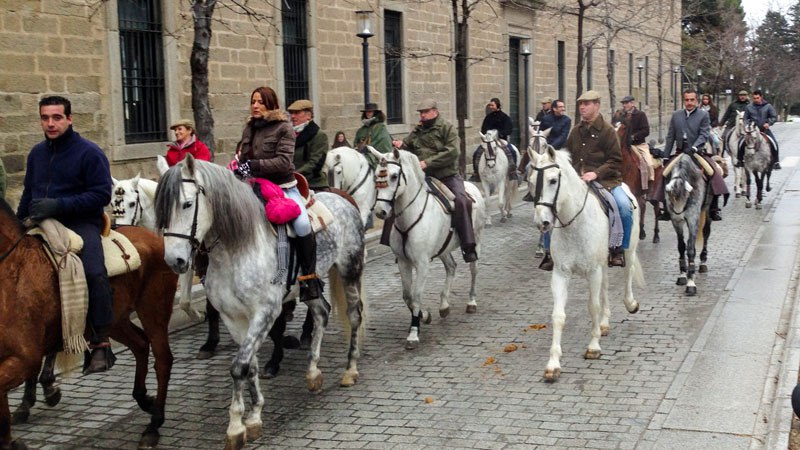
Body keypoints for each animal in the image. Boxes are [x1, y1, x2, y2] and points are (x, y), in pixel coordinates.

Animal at [0, 199, 178, 450]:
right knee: (141, 345)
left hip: (154, 309)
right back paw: (144, 399)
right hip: (115, 320)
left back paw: (153, 425)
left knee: (162, 359)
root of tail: (152, 236)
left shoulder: (26, 358)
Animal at [155, 156, 368, 450]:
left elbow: (238, 366)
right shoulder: (234, 317)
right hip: (310, 285)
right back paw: (313, 372)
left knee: (354, 315)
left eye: (187, 204)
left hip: (350, 269)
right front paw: (254, 417)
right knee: (322, 312)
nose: (174, 261)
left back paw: (350, 369)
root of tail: (343, 198)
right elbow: (250, 364)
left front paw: (235, 427)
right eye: (161, 211)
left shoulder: (265, 312)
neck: (236, 248)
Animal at [368, 147, 488, 348]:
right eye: (376, 175)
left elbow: (416, 296)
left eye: (394, 176)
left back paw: (471, 302)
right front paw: (425, 316)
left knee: (474, 269)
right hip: (443, 249)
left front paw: (413, 333)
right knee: (451, 267)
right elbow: (407, 296)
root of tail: (471, 187)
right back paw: (444, 305)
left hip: (476, 240)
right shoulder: (404, 262)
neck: (411, 214)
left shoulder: (422, 263)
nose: (379, 211)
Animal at [528, 146, 648, 382]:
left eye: (553, 180)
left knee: (627, 273)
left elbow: (593, 306)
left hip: (628, 250)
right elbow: (558, 316)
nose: (542, 222)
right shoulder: (561, 274)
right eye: (531, 181)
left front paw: (593, 347)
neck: (574, 225)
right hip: (603, 264)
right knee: (606, 287)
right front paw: (553, 364)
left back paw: (630, 304)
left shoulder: (593, 271)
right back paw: (604, 323)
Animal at [664, 153, 712, 298]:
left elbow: (690, 249)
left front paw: (691, 283)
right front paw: (682, 275)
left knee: (706, 232)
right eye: (671, 197)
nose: (679, 212)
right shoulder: (676, 222)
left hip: (706, 209)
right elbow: (681, 246)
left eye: (686, 196)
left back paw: (702, 262)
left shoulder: (692, 219)